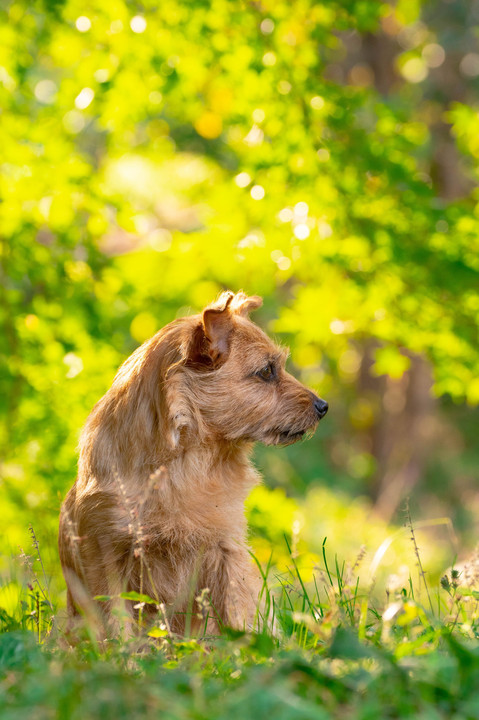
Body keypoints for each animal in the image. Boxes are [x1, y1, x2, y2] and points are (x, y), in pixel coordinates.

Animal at [58, 292, 328, 636]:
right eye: (267, 371)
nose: (323, 406)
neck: (184, 467)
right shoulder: (104, 555)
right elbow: (115, 623)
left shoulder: (227, 551)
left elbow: (238, 614)